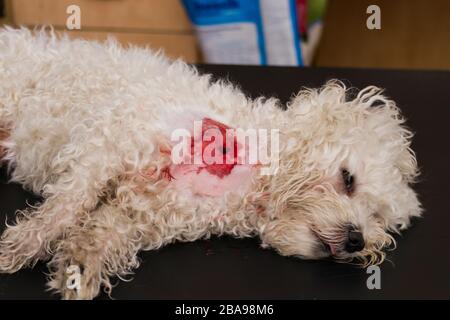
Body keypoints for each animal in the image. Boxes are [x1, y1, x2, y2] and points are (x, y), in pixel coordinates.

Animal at [0, 26, 422, 298]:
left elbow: (103, 232)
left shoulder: (142, 212)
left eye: (380, 219)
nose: (356, 239)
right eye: (348, 179)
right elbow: (68, 204)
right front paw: (22, 245)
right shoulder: (108, 139)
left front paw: (79, 269)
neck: (250, 178)